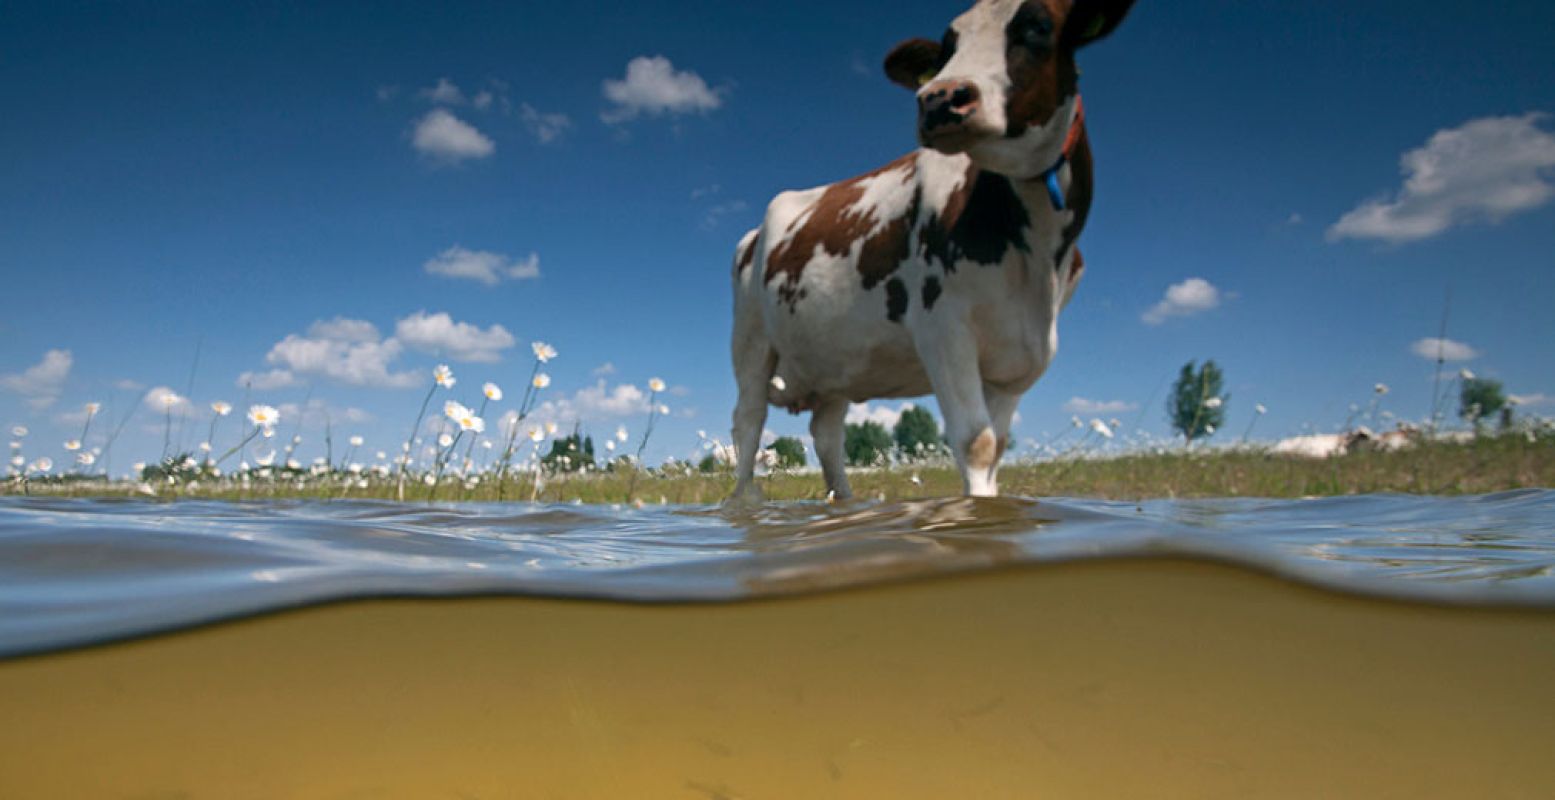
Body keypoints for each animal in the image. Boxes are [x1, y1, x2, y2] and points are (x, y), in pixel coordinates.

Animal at [727, 0, 1132, 498]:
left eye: (1038, 27)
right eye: (945, 49)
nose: (938, 99)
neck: (1037, 258)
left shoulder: (1022, 358)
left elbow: (997, 446)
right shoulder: (943, 329)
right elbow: (976, 443)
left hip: (836, 359)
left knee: (827, 435)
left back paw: (844, 501)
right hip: (750, 340)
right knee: (748, 422)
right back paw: (746, 500)